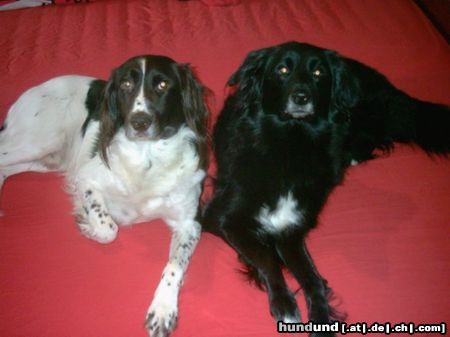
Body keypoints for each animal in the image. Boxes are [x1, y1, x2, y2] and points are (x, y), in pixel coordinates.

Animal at [0, 55, 209, 336]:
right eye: (126, 84)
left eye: (163, 84)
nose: (139, 122)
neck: (148, 158)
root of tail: (31, 91)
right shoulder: (86, 178)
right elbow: (108, 228)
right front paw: (87, 226)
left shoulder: (189, 224)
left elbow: (174, 266)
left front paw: (163, 309)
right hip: (38, 142)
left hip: (46, 159)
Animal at [202, 42, 448, 334]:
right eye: (282, 69)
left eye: (318, 72)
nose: (301, 97)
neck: (291, 143)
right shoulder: (224, 218)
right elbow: (266, 257)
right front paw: (285, 304)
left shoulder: (291, 228)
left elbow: (313, 279)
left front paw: (320, 316)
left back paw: (348, 158)